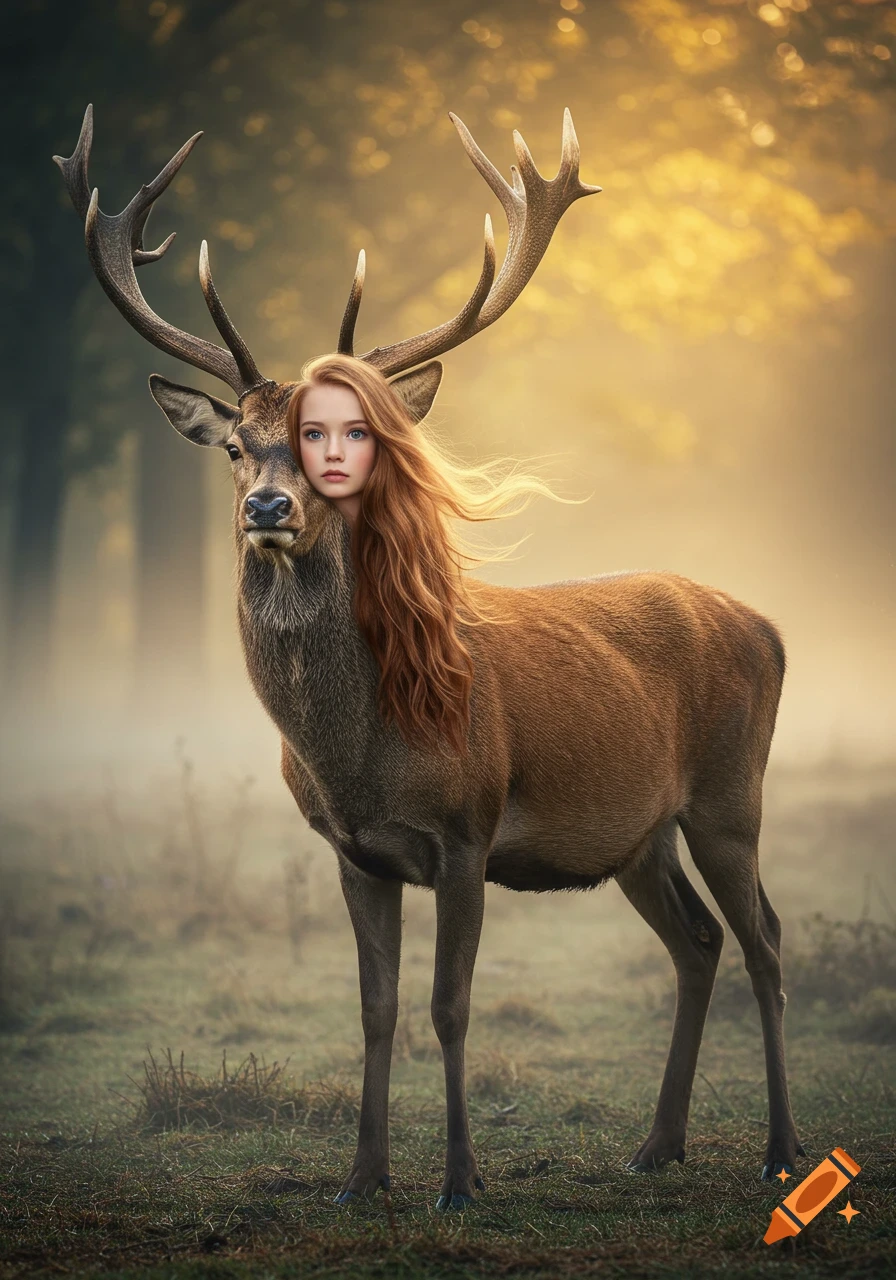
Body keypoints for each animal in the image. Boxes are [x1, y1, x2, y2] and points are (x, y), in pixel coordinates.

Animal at [54, 103, 804, 1210]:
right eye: (232, 445)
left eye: (338, 435)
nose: (268, 507)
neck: (359, 754)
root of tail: (771, 627)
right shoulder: (352, 851)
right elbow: (377, 1008)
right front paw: (361, 1177)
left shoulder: (466, 827)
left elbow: (451, 1005)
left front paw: (459, 1179)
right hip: (638, 833)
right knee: (698, 940)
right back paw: (656, 1143)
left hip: (728, 794)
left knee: (766, 939)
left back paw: (781, 1150)